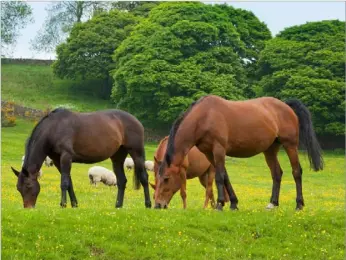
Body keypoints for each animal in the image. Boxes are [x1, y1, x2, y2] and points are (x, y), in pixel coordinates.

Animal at [10, 107, 151, 209]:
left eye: (28, 185)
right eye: (18, 188)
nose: (28, 207)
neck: (54, 128)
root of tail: (136, 121)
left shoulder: (66, 157)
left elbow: (64, 182)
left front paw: (63, 205)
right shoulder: (57, 160)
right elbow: (69, 182)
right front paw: (74, 204)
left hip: (137, 153)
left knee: (144, 177)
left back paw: (148, 204)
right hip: (117, 157)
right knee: (122, 181)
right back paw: (118, 206)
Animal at [155, 95, 324, 211]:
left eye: (166, 178)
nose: (157, 205)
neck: (205, 117)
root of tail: (285, 106)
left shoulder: (219, 150)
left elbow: (220, 177)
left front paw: (220, 204)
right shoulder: (209, 153)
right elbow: (225, 177)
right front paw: (233, 204)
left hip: (290, 145)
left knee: (296, 172)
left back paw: (299, 204)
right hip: (270, 149)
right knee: (277, 173)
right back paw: (272, 203)